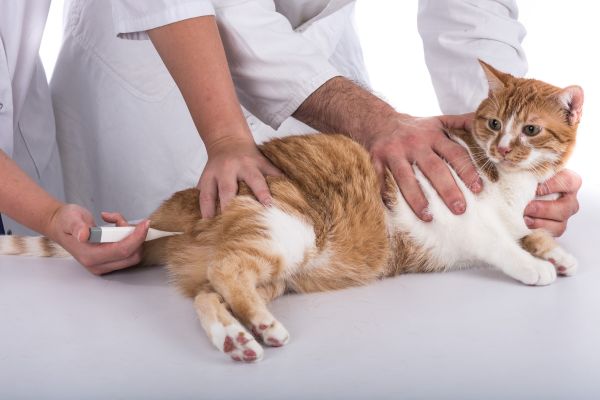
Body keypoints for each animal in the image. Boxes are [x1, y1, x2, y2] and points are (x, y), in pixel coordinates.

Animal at [0, 61, 580, 362]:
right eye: (492, 124)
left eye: (529, 130)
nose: (501, 146)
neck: (509, 182)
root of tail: (190, 210)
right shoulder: (461, 215)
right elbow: (501, 244)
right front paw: (535, 266)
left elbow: (529, 232)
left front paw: (555, 250)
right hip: (285, 229)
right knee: (226, 273)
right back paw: (262, 329)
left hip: (274, 270)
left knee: (209, 292)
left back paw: (236, 338)